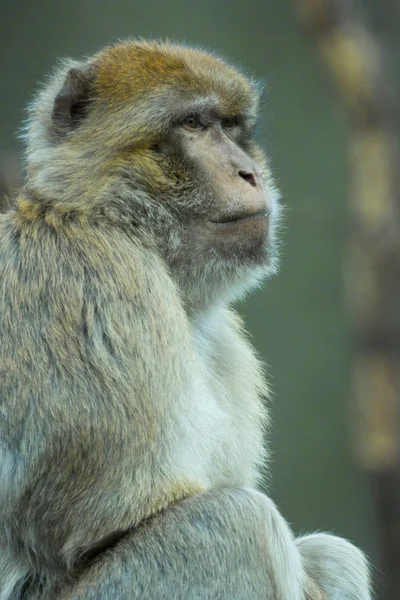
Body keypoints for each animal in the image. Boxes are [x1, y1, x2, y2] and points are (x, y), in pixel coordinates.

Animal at [0, 39, 372, 596]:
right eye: (194, 124)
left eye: (232, 127)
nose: (249, 172)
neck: (115, 223)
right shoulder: (99, 284)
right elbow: (106, 522)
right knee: (237, 525)